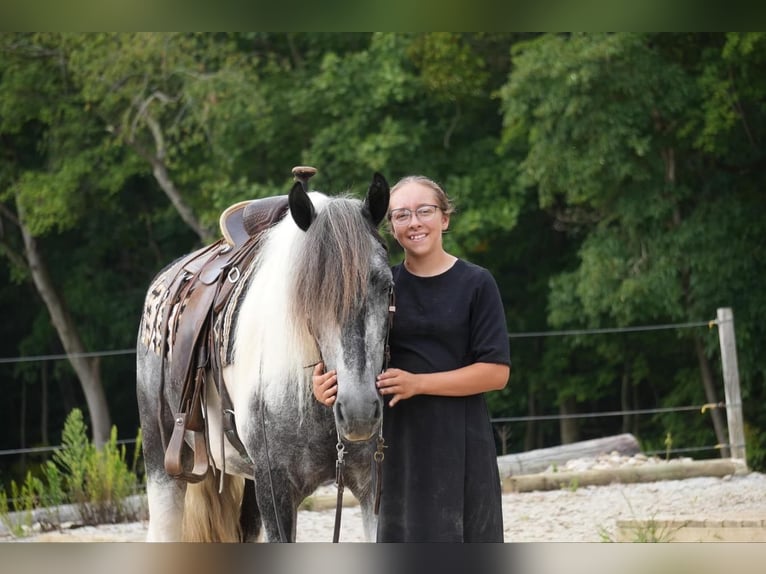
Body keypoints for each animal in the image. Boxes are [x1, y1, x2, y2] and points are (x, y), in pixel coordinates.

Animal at [134, 172, 392, 544]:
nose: (359, 412)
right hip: (163, 466)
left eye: (386, 286)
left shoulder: (371, 484)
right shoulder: (275, 489)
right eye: (308, 295)